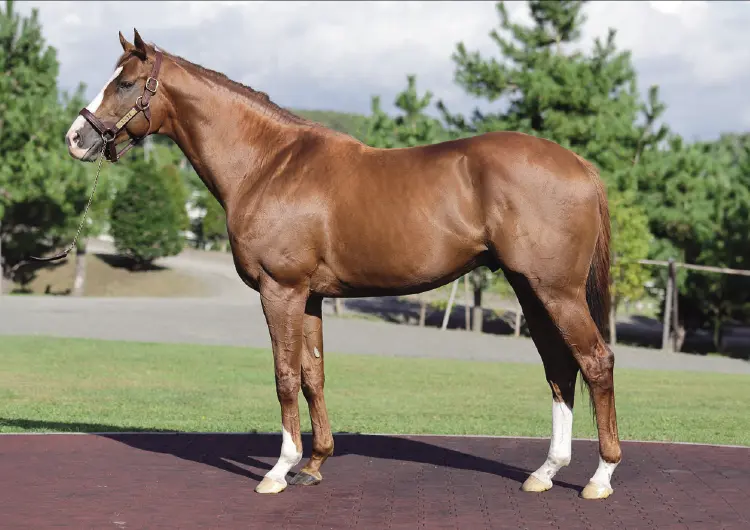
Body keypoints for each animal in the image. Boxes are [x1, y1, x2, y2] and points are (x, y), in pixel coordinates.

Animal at [64, 29, 621, 500]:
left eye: (126, 83)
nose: (76, 138)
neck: (267, 163)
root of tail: (581, 166)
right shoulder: (310, 295)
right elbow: (313, 374)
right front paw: (312, 465)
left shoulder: (281, 290)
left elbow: (284, 375)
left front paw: (277, 470)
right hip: (531, 289)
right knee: (559, 368)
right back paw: (545, 472)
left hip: (557, 291)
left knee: (596, 361)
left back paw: (600, 477)